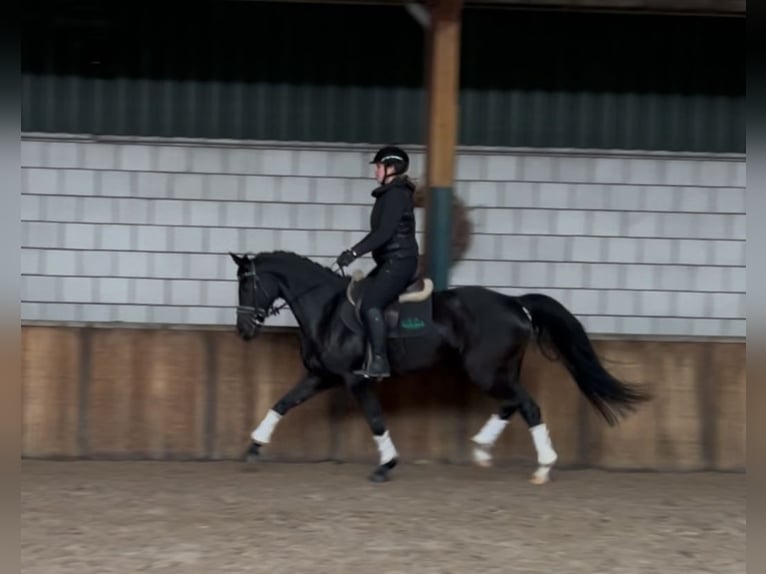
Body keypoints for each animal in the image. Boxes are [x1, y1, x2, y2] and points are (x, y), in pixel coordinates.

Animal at [231, 252, 652, 486]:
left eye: (247, 286)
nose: (244, 330)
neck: (328, 310)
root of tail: (516, 304)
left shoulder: (354, 380)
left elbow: (375, 420)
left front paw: (386, 465)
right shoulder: (321, 375)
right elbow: (281, 404)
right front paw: (253, 447)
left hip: (485, 371)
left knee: (528, 406)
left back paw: (543, 468)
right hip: (498, 371)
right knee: (513, 404)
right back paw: (482, 450)